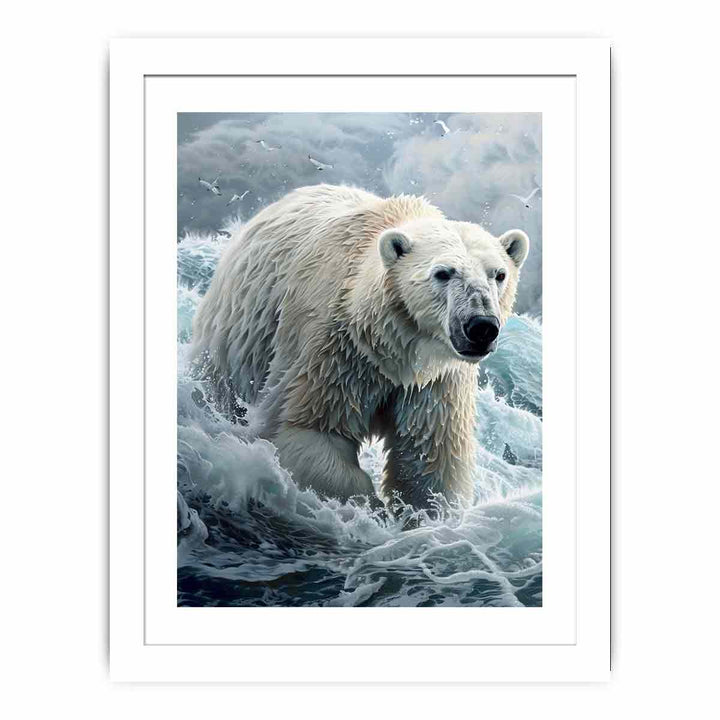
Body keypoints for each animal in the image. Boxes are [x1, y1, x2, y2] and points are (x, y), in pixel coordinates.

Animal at [191, 184, 529, 510]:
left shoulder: (436, 381)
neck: (394, 347)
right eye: (443, 273)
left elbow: (431, 461)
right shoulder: (336, 351)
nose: (481, 326)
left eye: (499, 274)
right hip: (239, 333)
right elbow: (309, 431)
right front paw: (371, 509)